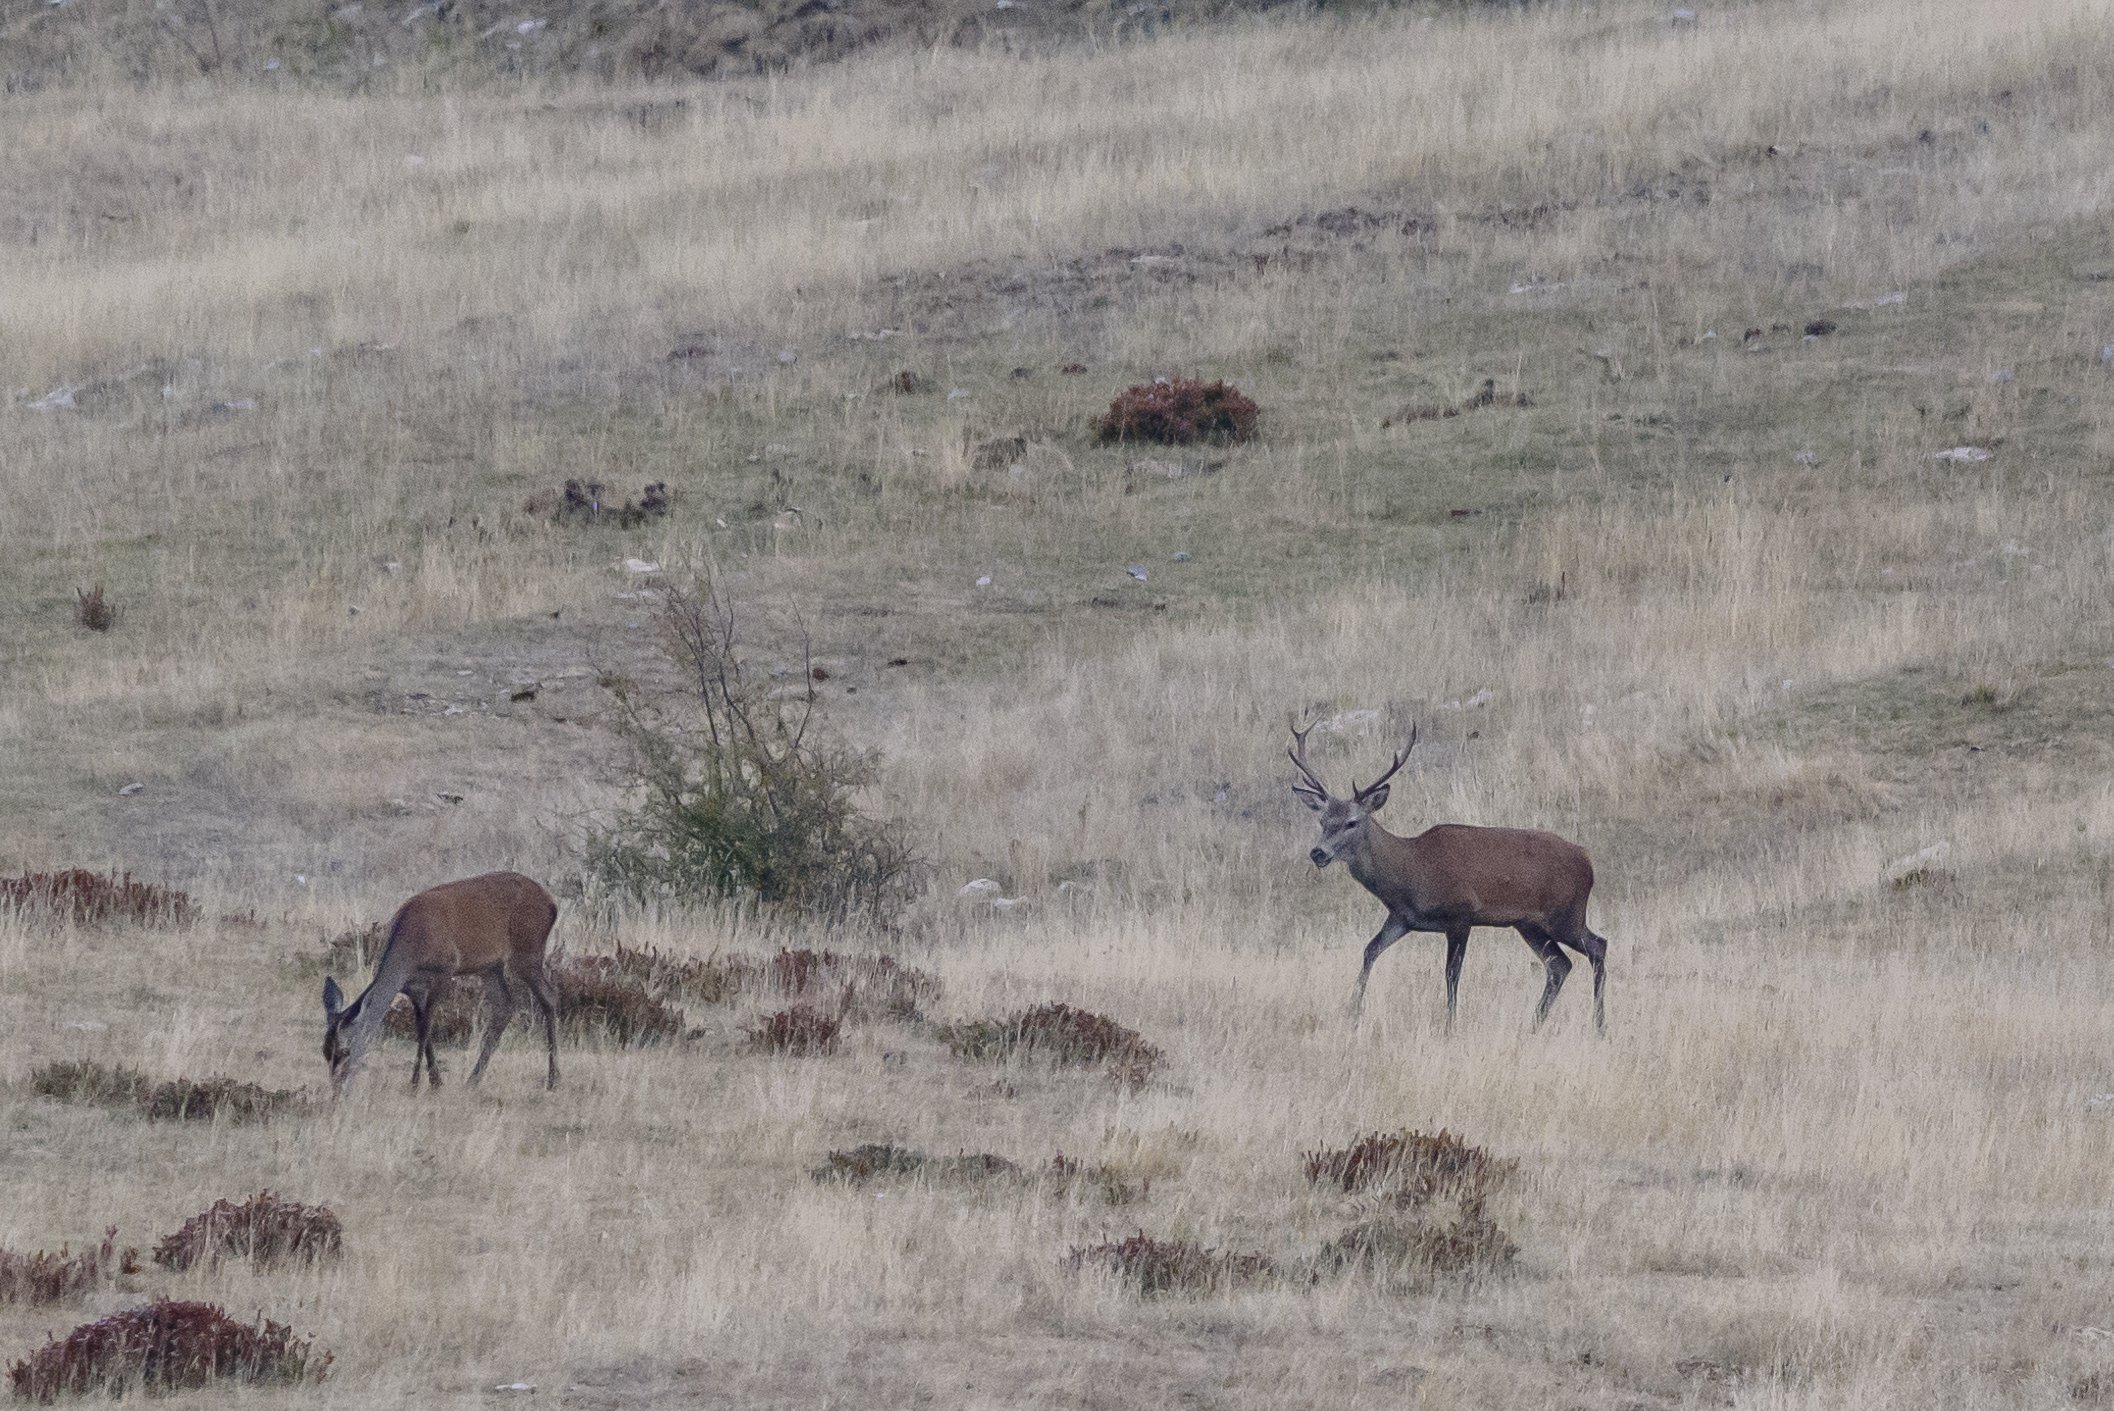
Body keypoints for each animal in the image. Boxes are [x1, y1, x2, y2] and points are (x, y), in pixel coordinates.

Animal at [321, 871, 562, 1093]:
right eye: (324, 1051)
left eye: (345, 1051)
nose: (336, 1088)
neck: (410, 951)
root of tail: (552, 903)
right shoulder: (412, 988)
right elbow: (421, 1027)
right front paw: (435, 1081)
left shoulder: (445, 971)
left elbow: (427, 1026)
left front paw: (416, 1083)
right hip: (490, 966)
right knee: (504, 1005)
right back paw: (473, 1079)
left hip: (527, 951)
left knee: (549, 996)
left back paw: (553, 1079)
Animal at [1289, 722, 1608, 1034]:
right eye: (1322, 820)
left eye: (1352, 822)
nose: (1318, 853)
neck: (1411, 873)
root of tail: (1587, 858)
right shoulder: (1401, 918)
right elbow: (1370, 951)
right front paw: (1352, 1013)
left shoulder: (1460, 913)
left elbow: (1451, 973)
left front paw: (1449, 1026)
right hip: (1529, 923)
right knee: (1559, 964)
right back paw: (1534, 1024)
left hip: (1565, 913)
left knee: (1597, 946)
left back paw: (1599, 1025)